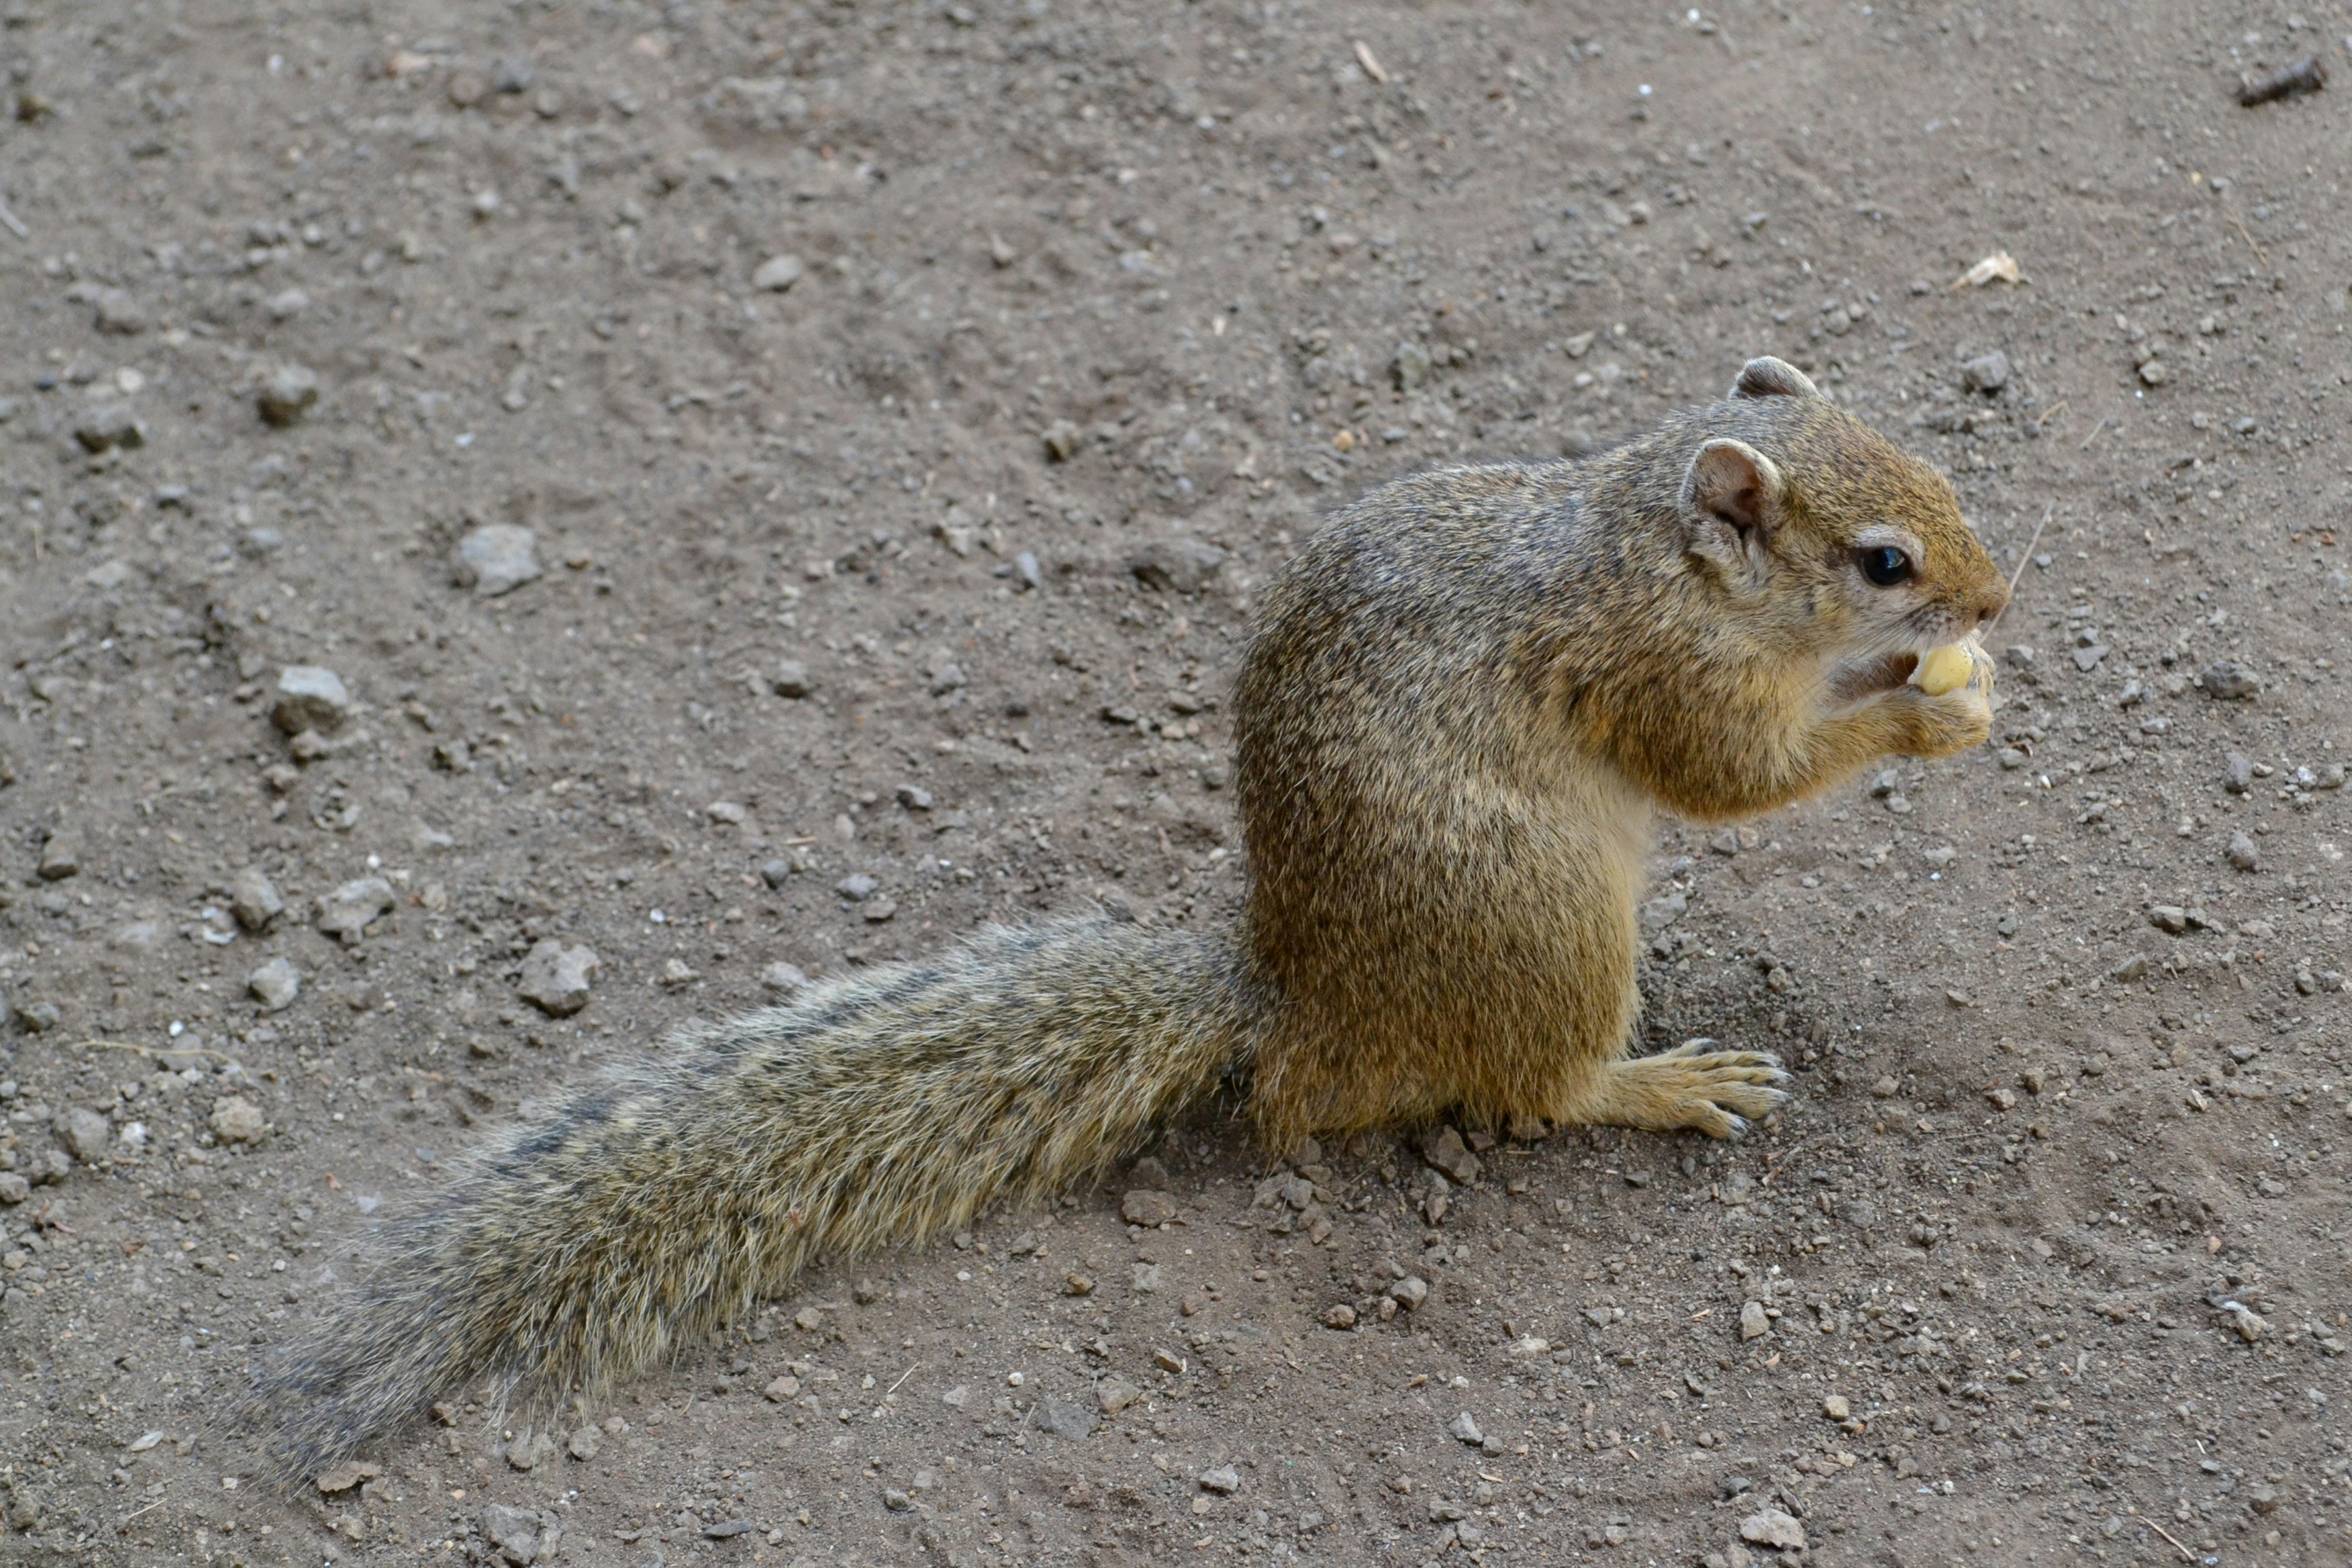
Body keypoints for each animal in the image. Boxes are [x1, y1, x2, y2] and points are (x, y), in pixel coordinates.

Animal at [248, 357, 2007, 1481]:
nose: (1994, 598)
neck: (1654, 553)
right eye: (1879, 557)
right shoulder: (1659, 676)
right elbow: (1739, 777)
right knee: (1530, 1090)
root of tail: (1298, 1006)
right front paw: (1922, 710)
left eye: (1936, 471)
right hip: (1552, 931)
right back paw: (1662, 1080)